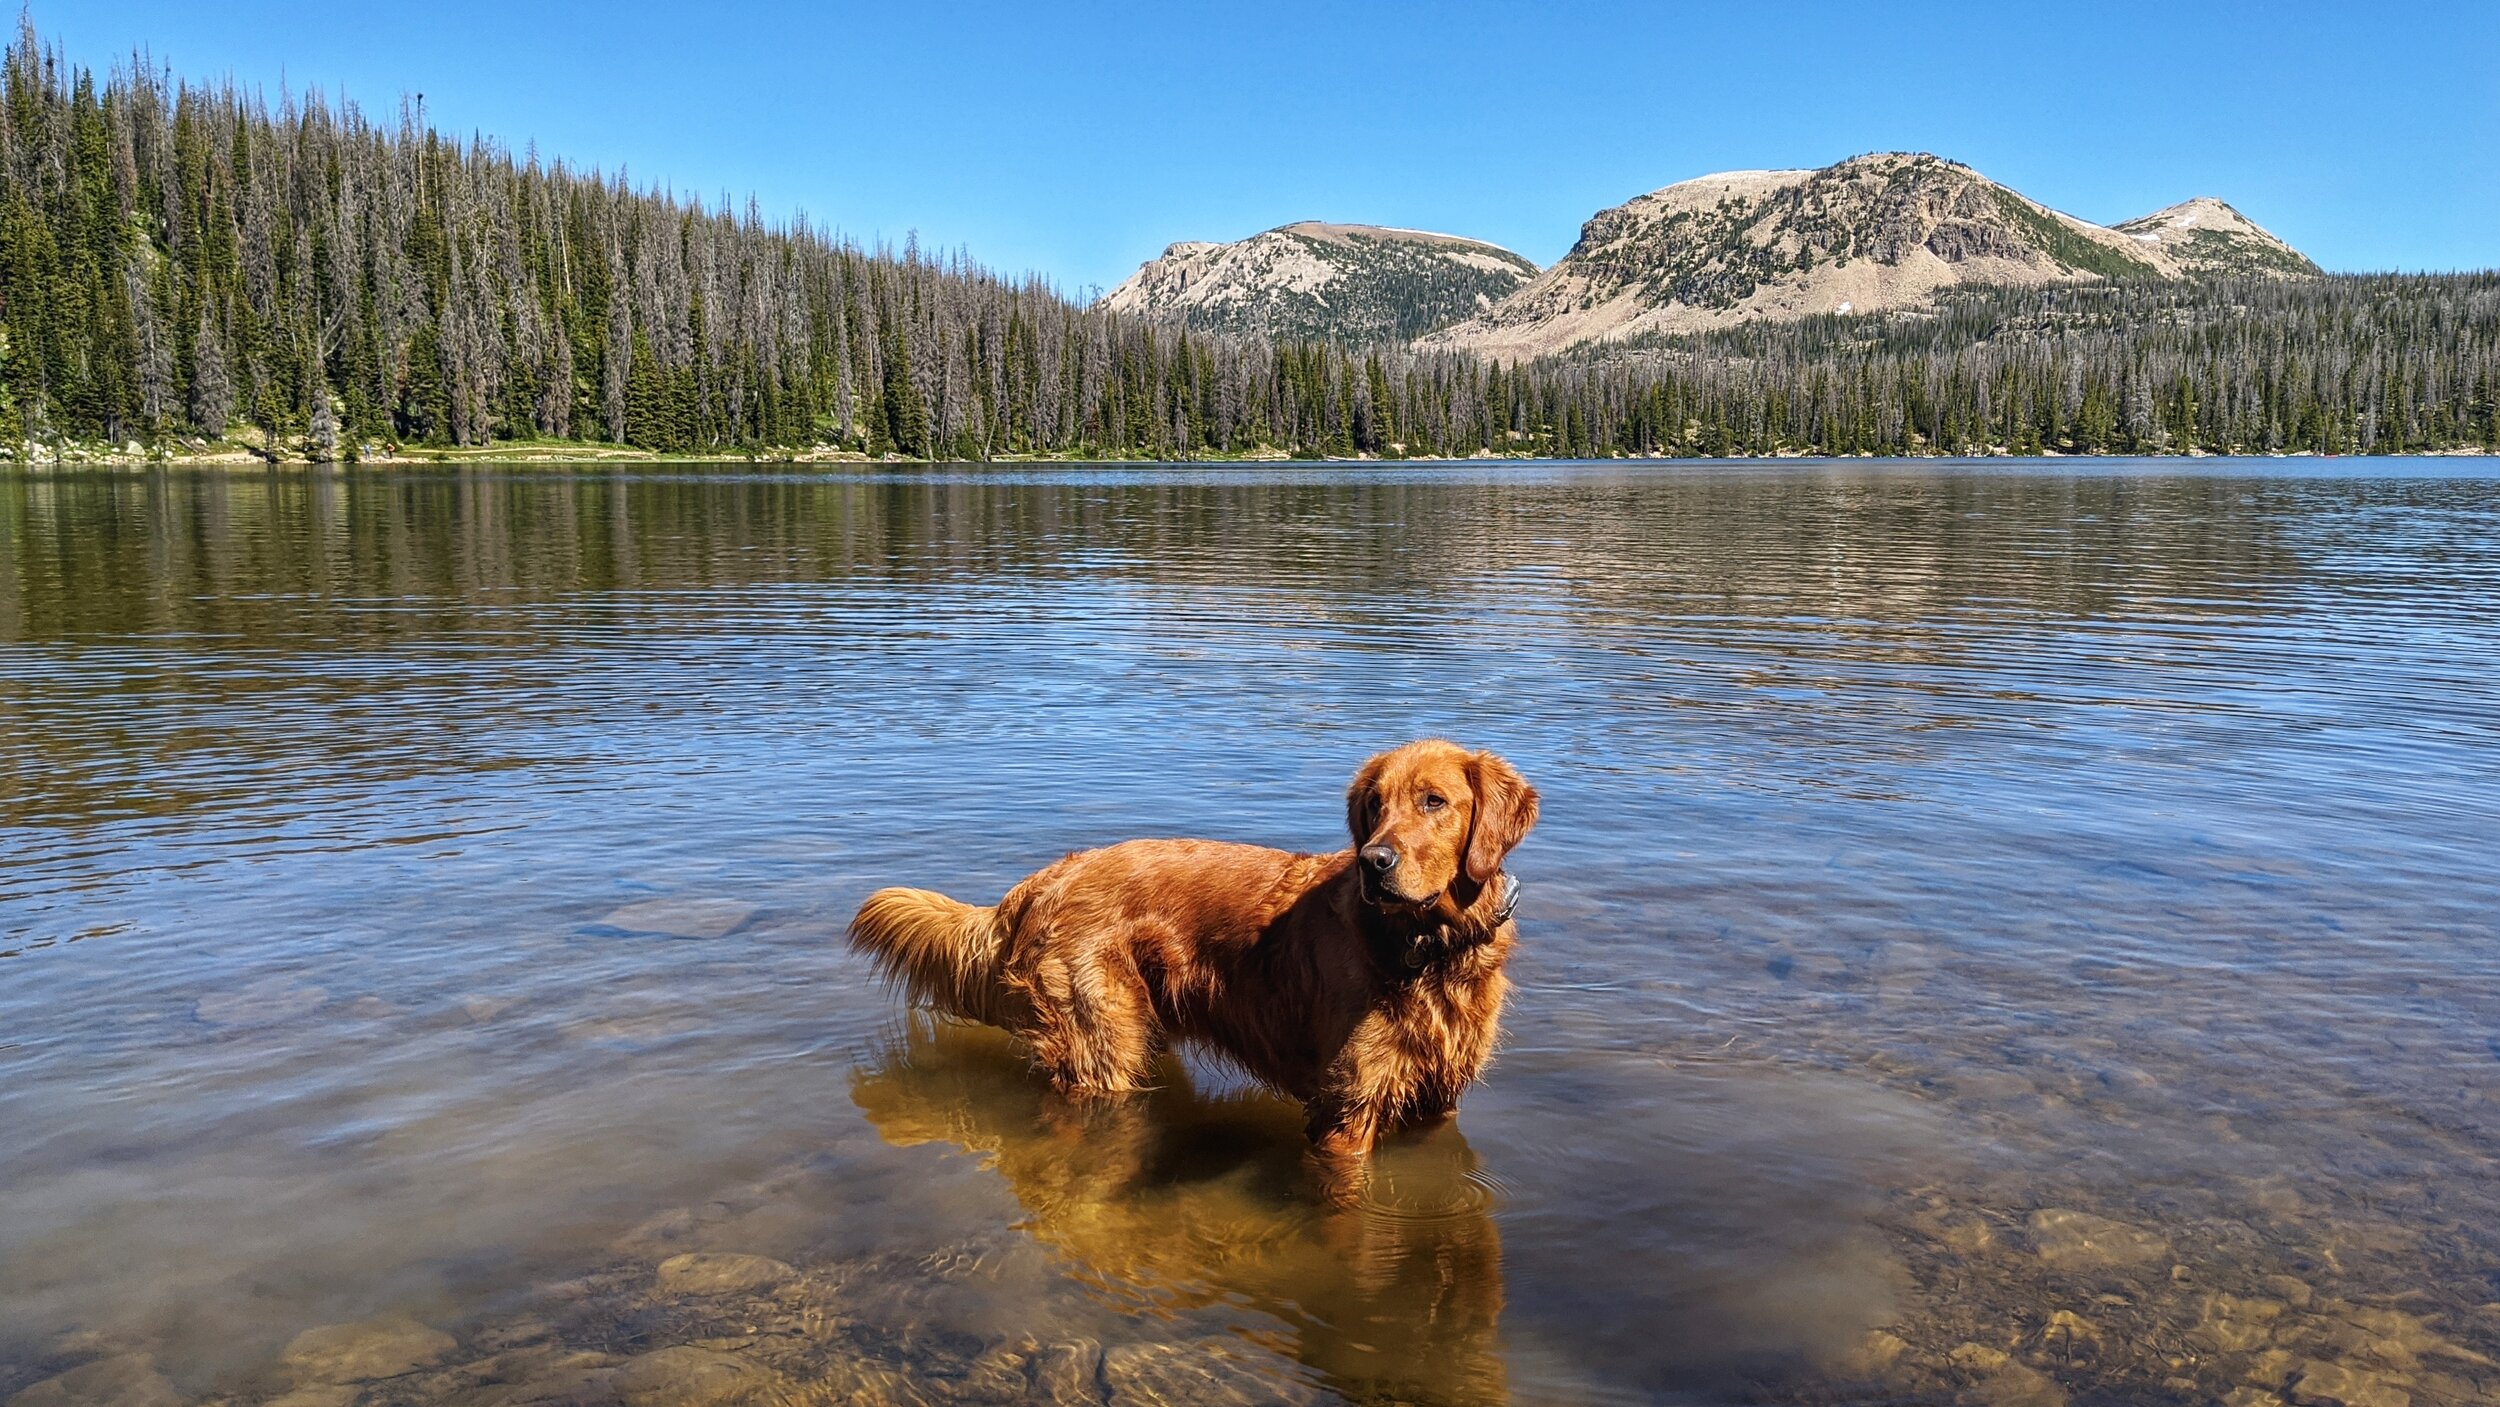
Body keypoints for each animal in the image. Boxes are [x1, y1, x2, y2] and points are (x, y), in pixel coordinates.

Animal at [850, 739, 1530, 1179]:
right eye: (1373, 807)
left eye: (1434, 801)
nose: (1373, 862)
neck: (1431, 951)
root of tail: (1043, 880)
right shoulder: (1345, 1111)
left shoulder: (1437, 1102)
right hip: (1101, 1049)